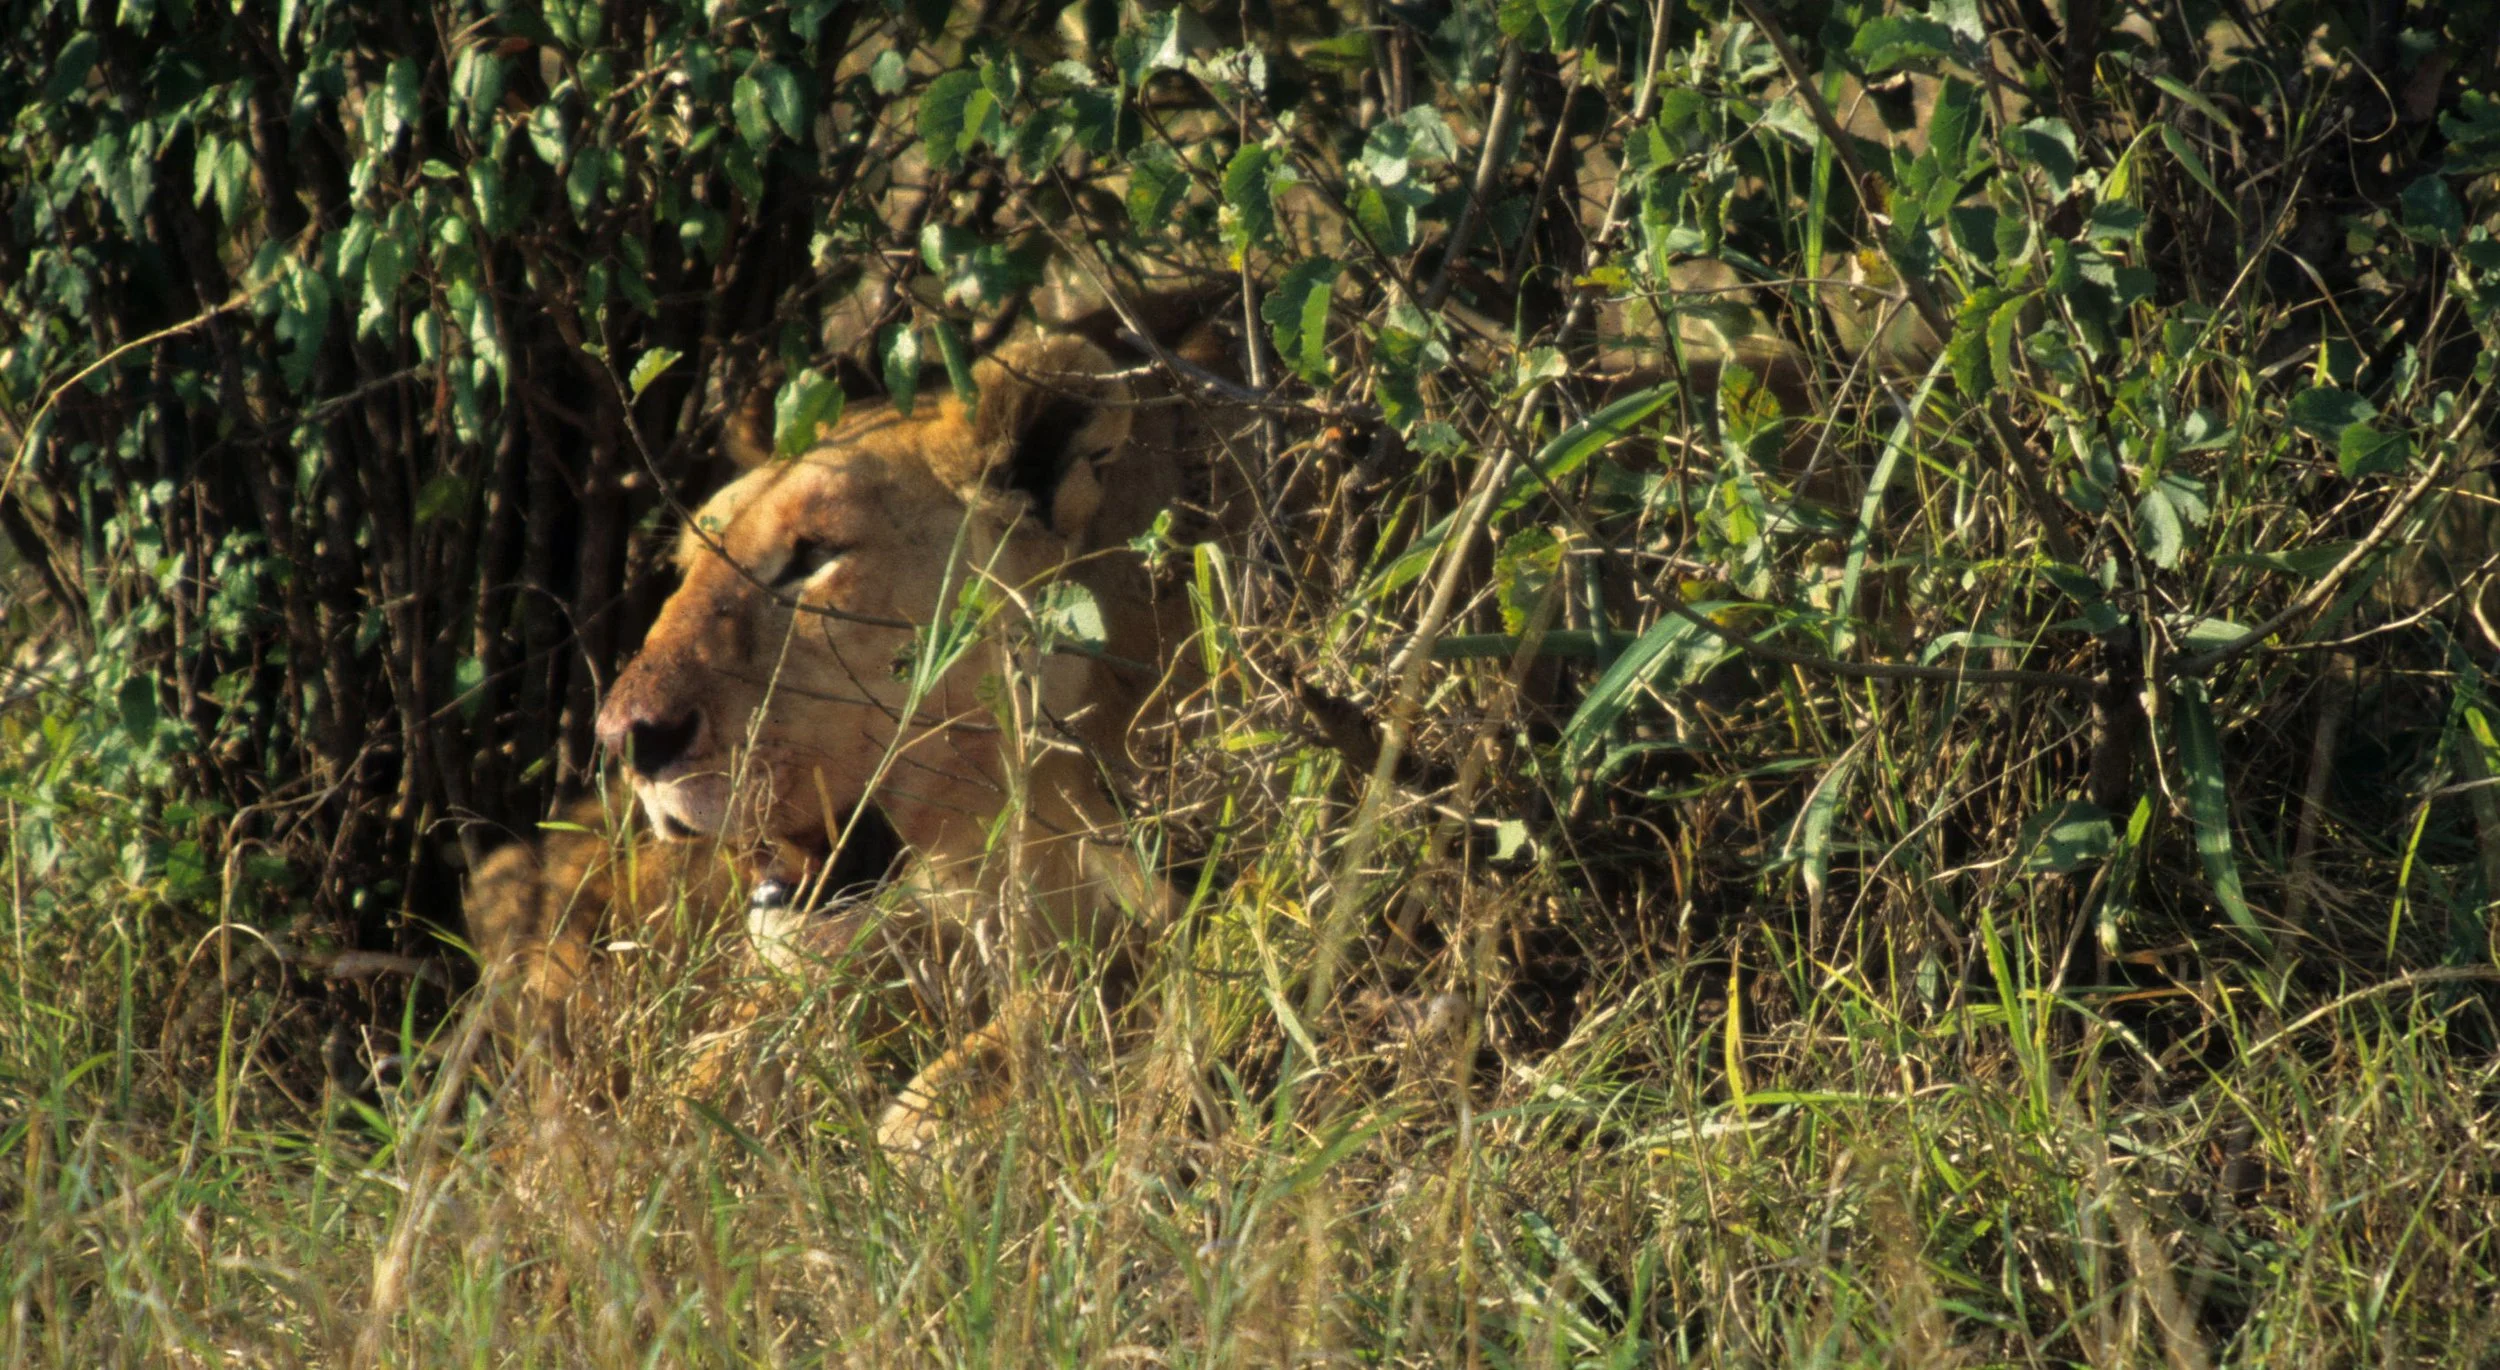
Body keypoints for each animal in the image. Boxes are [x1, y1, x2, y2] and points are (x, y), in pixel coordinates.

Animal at [468, 327, 1232, 1153]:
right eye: (688, 565)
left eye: (815, 555)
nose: (624, 740)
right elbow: (708, 1068)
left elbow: (1079, 1004)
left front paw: (933, 1123)